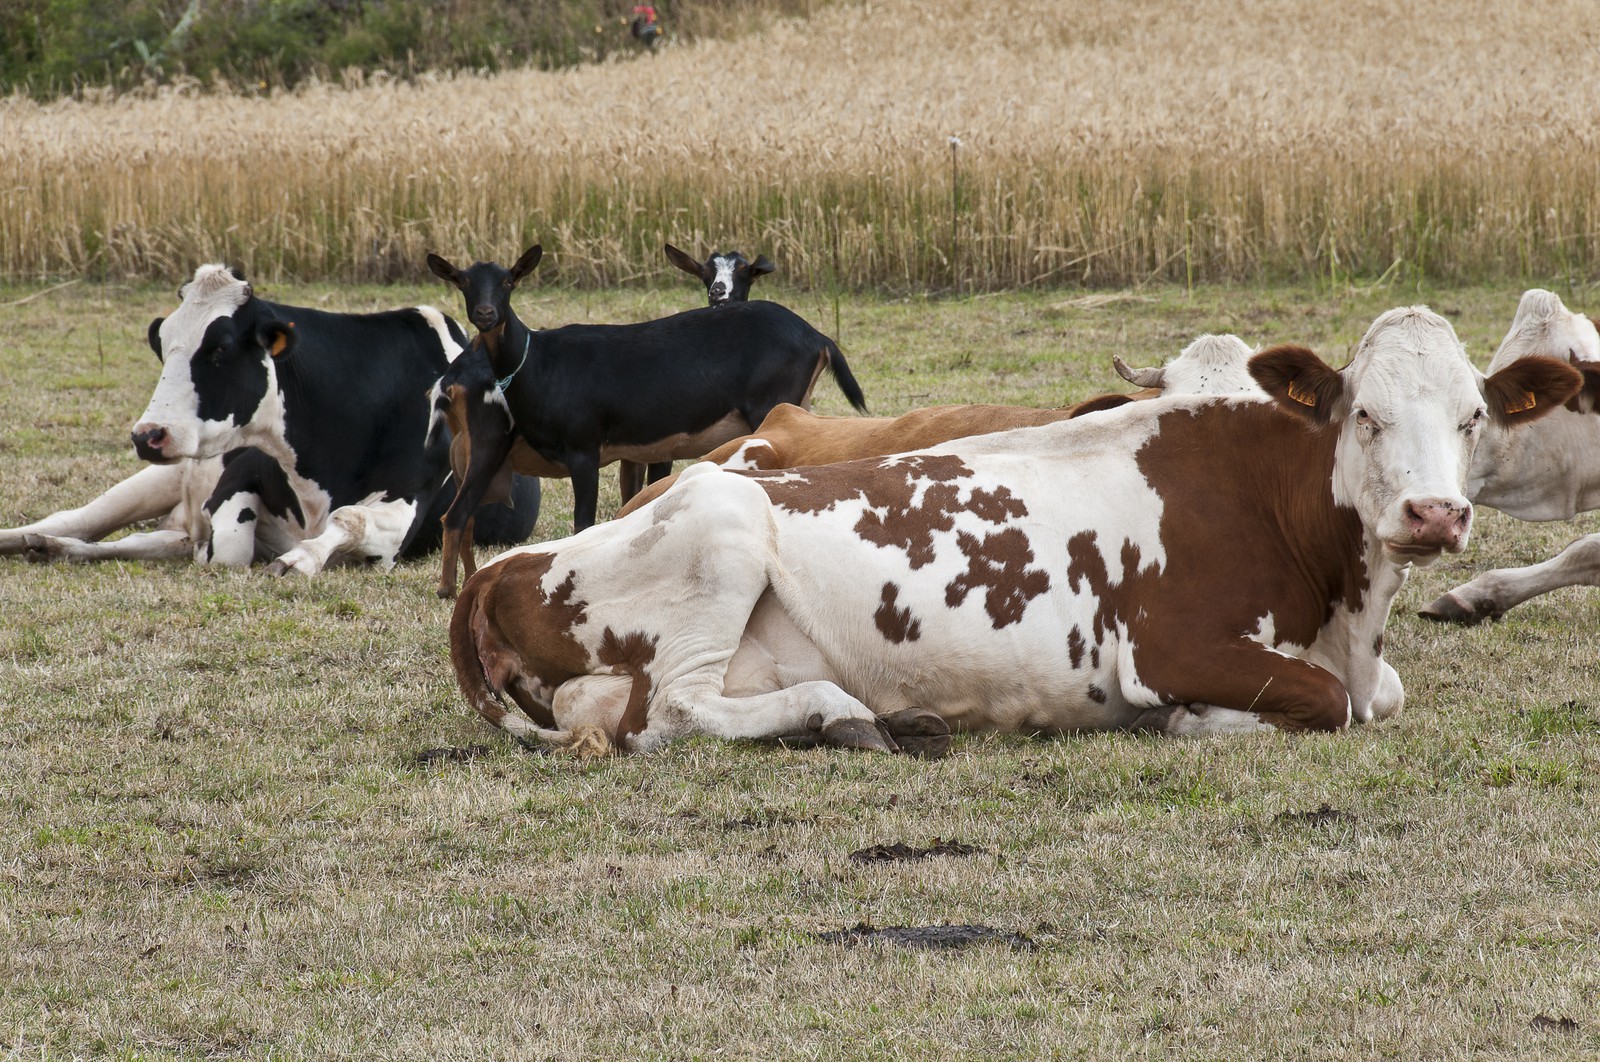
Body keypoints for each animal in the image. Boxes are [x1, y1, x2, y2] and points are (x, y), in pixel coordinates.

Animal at [0, 264, 536, 573]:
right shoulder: (234, 475)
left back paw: (52, 547)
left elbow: (349, 517)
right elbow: (229, 548)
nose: (148, 435)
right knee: (82, 520)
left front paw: (299, 558)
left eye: (219, 349)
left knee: (140, 540)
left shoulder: (408, 510)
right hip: (163, 478)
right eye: (162, 344)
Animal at [425, 244, 867, 597]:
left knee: (460, 516)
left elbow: (594, 519)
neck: (541, 364)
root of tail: (819, 338)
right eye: (463, 282)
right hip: (484, 447)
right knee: (459, 515)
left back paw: (454, 586)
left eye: (508, 281)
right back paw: (456, 586)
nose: (485, 314)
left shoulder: (588, 449)